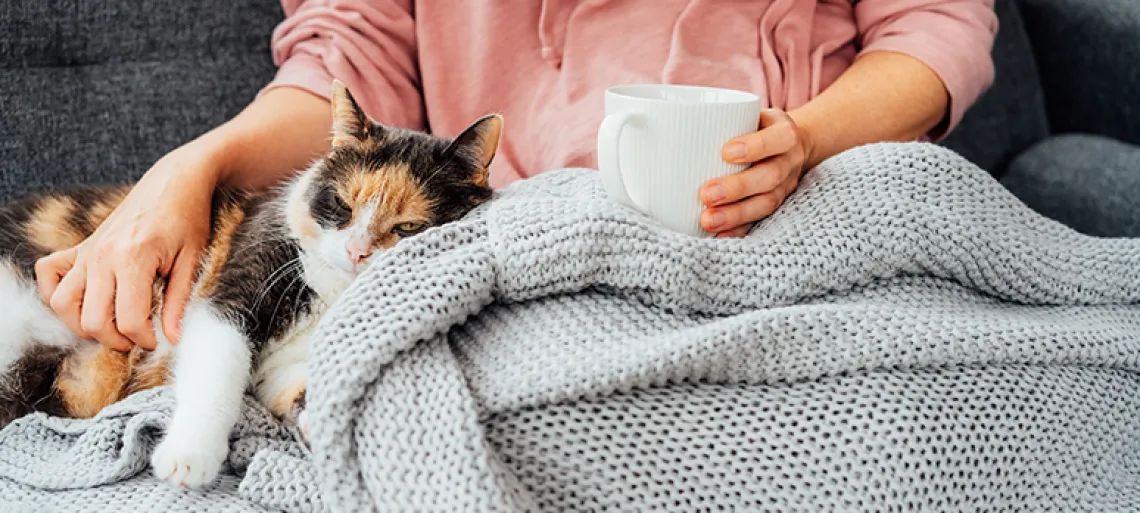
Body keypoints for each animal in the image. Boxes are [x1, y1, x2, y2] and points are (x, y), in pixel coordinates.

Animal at [0, 80, 503, 487]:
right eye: (341, 204)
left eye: (409, 227)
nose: (357, 252)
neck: (331, 294)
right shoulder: (232, 291)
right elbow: (216, 373)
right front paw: (188, 457)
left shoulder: (283, 368)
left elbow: (299, 384)